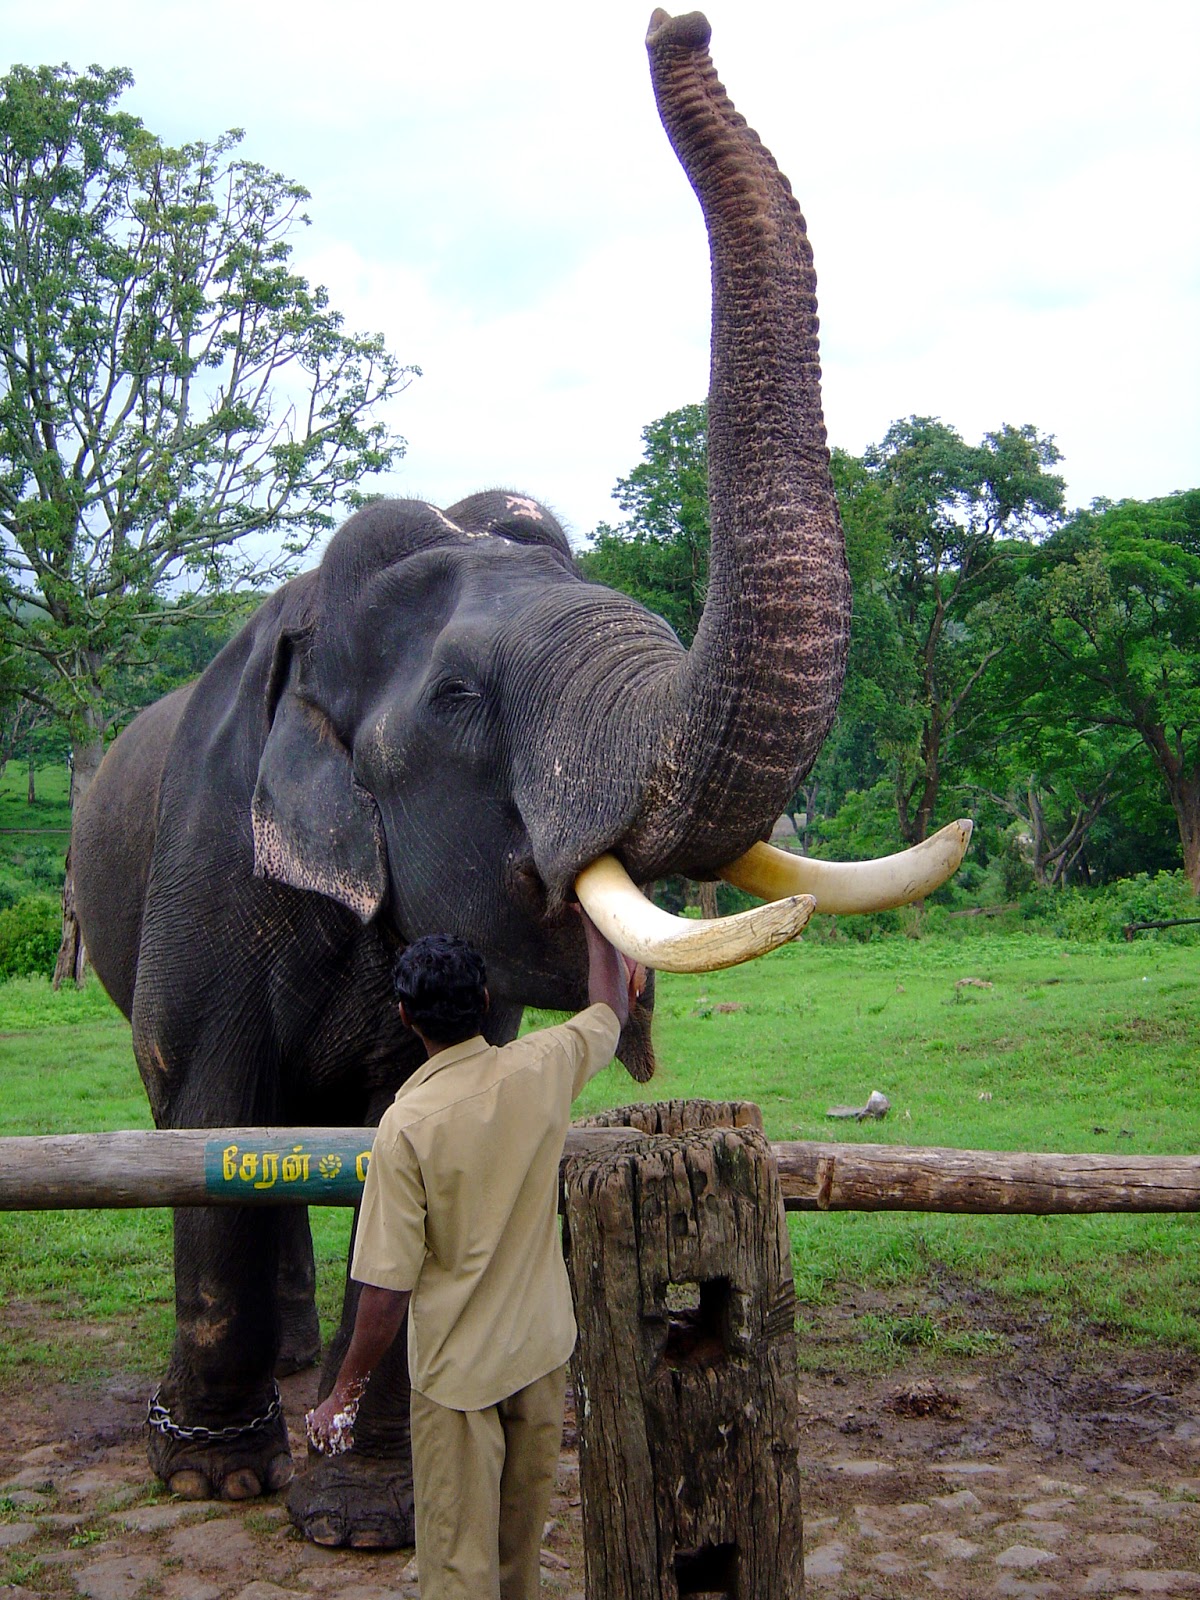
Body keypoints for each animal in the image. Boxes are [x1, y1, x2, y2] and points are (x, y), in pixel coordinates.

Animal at [71, 7, 969, 1550]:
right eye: (462, 699)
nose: (678, 23)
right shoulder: (208, 863)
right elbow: (211, 1106)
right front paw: (215, 1479)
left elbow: (410, 1134)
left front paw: (372, 1512)